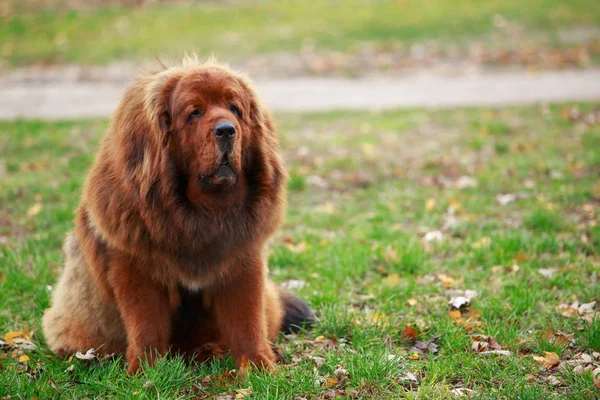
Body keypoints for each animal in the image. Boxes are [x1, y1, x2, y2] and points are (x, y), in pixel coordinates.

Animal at [42, 56, 314, 376]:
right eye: (194, 113)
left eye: (234, 108)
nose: (226, 129)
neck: (200, 214)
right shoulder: (136, 268)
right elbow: (146, 326)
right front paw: (146, 372)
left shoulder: (241, 262)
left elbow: (247, 322)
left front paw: (260, 368)